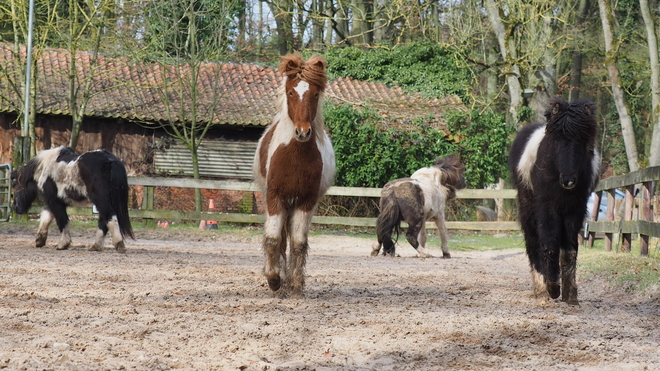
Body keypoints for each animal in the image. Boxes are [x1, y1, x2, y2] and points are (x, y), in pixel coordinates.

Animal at [253, 53, 336, 296]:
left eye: (315, 94)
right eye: (291, 92)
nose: (302, 132)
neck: (295, 156)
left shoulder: (306, 201)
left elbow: (298, 242)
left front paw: (296, 284)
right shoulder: (274, 197)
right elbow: (273, 239)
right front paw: (273, 279)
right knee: (280, 239)